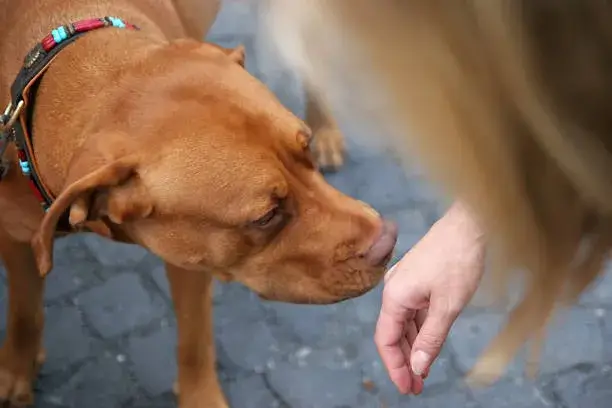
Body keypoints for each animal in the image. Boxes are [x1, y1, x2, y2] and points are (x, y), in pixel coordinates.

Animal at [0, 1, 396, 406]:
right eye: (266, 216)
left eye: (306, 150)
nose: (389, 241)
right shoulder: (15, 238)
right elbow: (23, 311)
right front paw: (16, 371)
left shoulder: (191, 262)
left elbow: (194, 337)